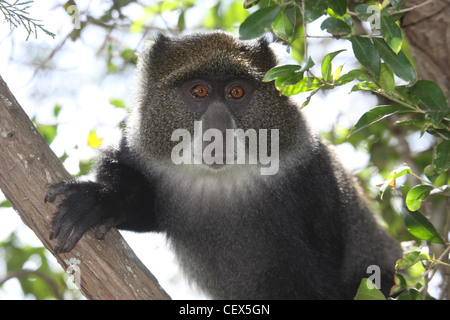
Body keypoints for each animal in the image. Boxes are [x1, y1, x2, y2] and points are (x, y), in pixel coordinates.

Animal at [45, 30, 402, 300]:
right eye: (199, 91)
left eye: (237, 92)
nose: (218, 128)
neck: (222, 183)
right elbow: (142, 205)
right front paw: (103, 199)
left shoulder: (314, 180)